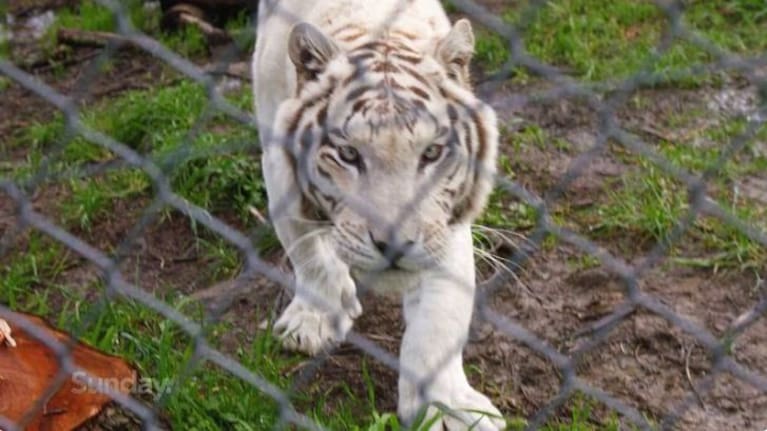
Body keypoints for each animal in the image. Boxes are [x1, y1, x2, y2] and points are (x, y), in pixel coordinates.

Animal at [252, 1, 503, 429]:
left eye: (432, 153)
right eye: (348, 154)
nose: (395, 244)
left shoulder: (446, 224)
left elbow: (439, 319)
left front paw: (448, 409)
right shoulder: (277, 162)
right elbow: (307, 250)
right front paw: (313, 320)